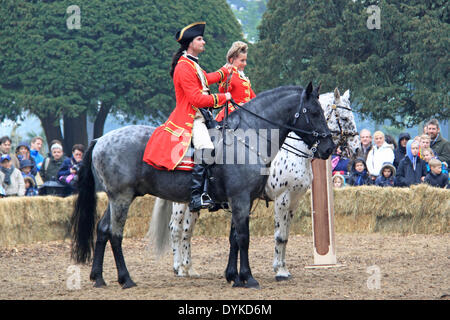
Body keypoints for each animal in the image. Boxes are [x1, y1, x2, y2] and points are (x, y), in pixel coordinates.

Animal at [70, 81, 334, 288]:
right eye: (313, 112)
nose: (329, 147)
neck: (249, 139)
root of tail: (100, 139)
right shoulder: (246, 198)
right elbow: (245, 237)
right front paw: (249, 278)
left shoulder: (243, 201)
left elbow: (234, 237)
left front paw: (233, 276)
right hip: (123, 197)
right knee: (116, 234)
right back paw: (126, 279)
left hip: (116, 198)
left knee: (103, 229)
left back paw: (99, 278)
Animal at [147, 88, 358, 280]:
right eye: (344, 117)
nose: (355, 148)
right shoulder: (281, 198)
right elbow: (279, 235)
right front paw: (279, 271)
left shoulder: (292, 201)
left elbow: (283, 235)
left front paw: (279, 268)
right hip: (181, 202)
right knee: (177, 229)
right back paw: (179, 267)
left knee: (187, 231)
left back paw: (188, 268)